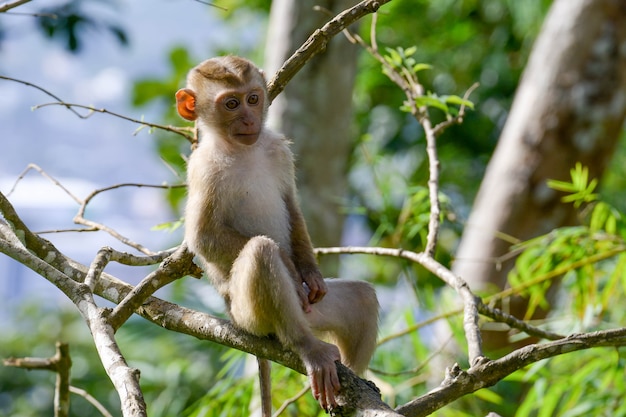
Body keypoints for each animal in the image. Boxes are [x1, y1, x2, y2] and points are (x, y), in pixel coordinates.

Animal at [178, 55, 378, 410]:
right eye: (231, 104)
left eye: (253, 98)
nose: (248, 119)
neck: (241, 149)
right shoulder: (203, 167)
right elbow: (203, 238)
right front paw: (288, 265)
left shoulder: (277, 148)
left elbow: (291, 205)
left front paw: (310, 274)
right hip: (249, 317)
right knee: (262, 251)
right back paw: (306, 347)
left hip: (315, 314)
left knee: (363, 298)